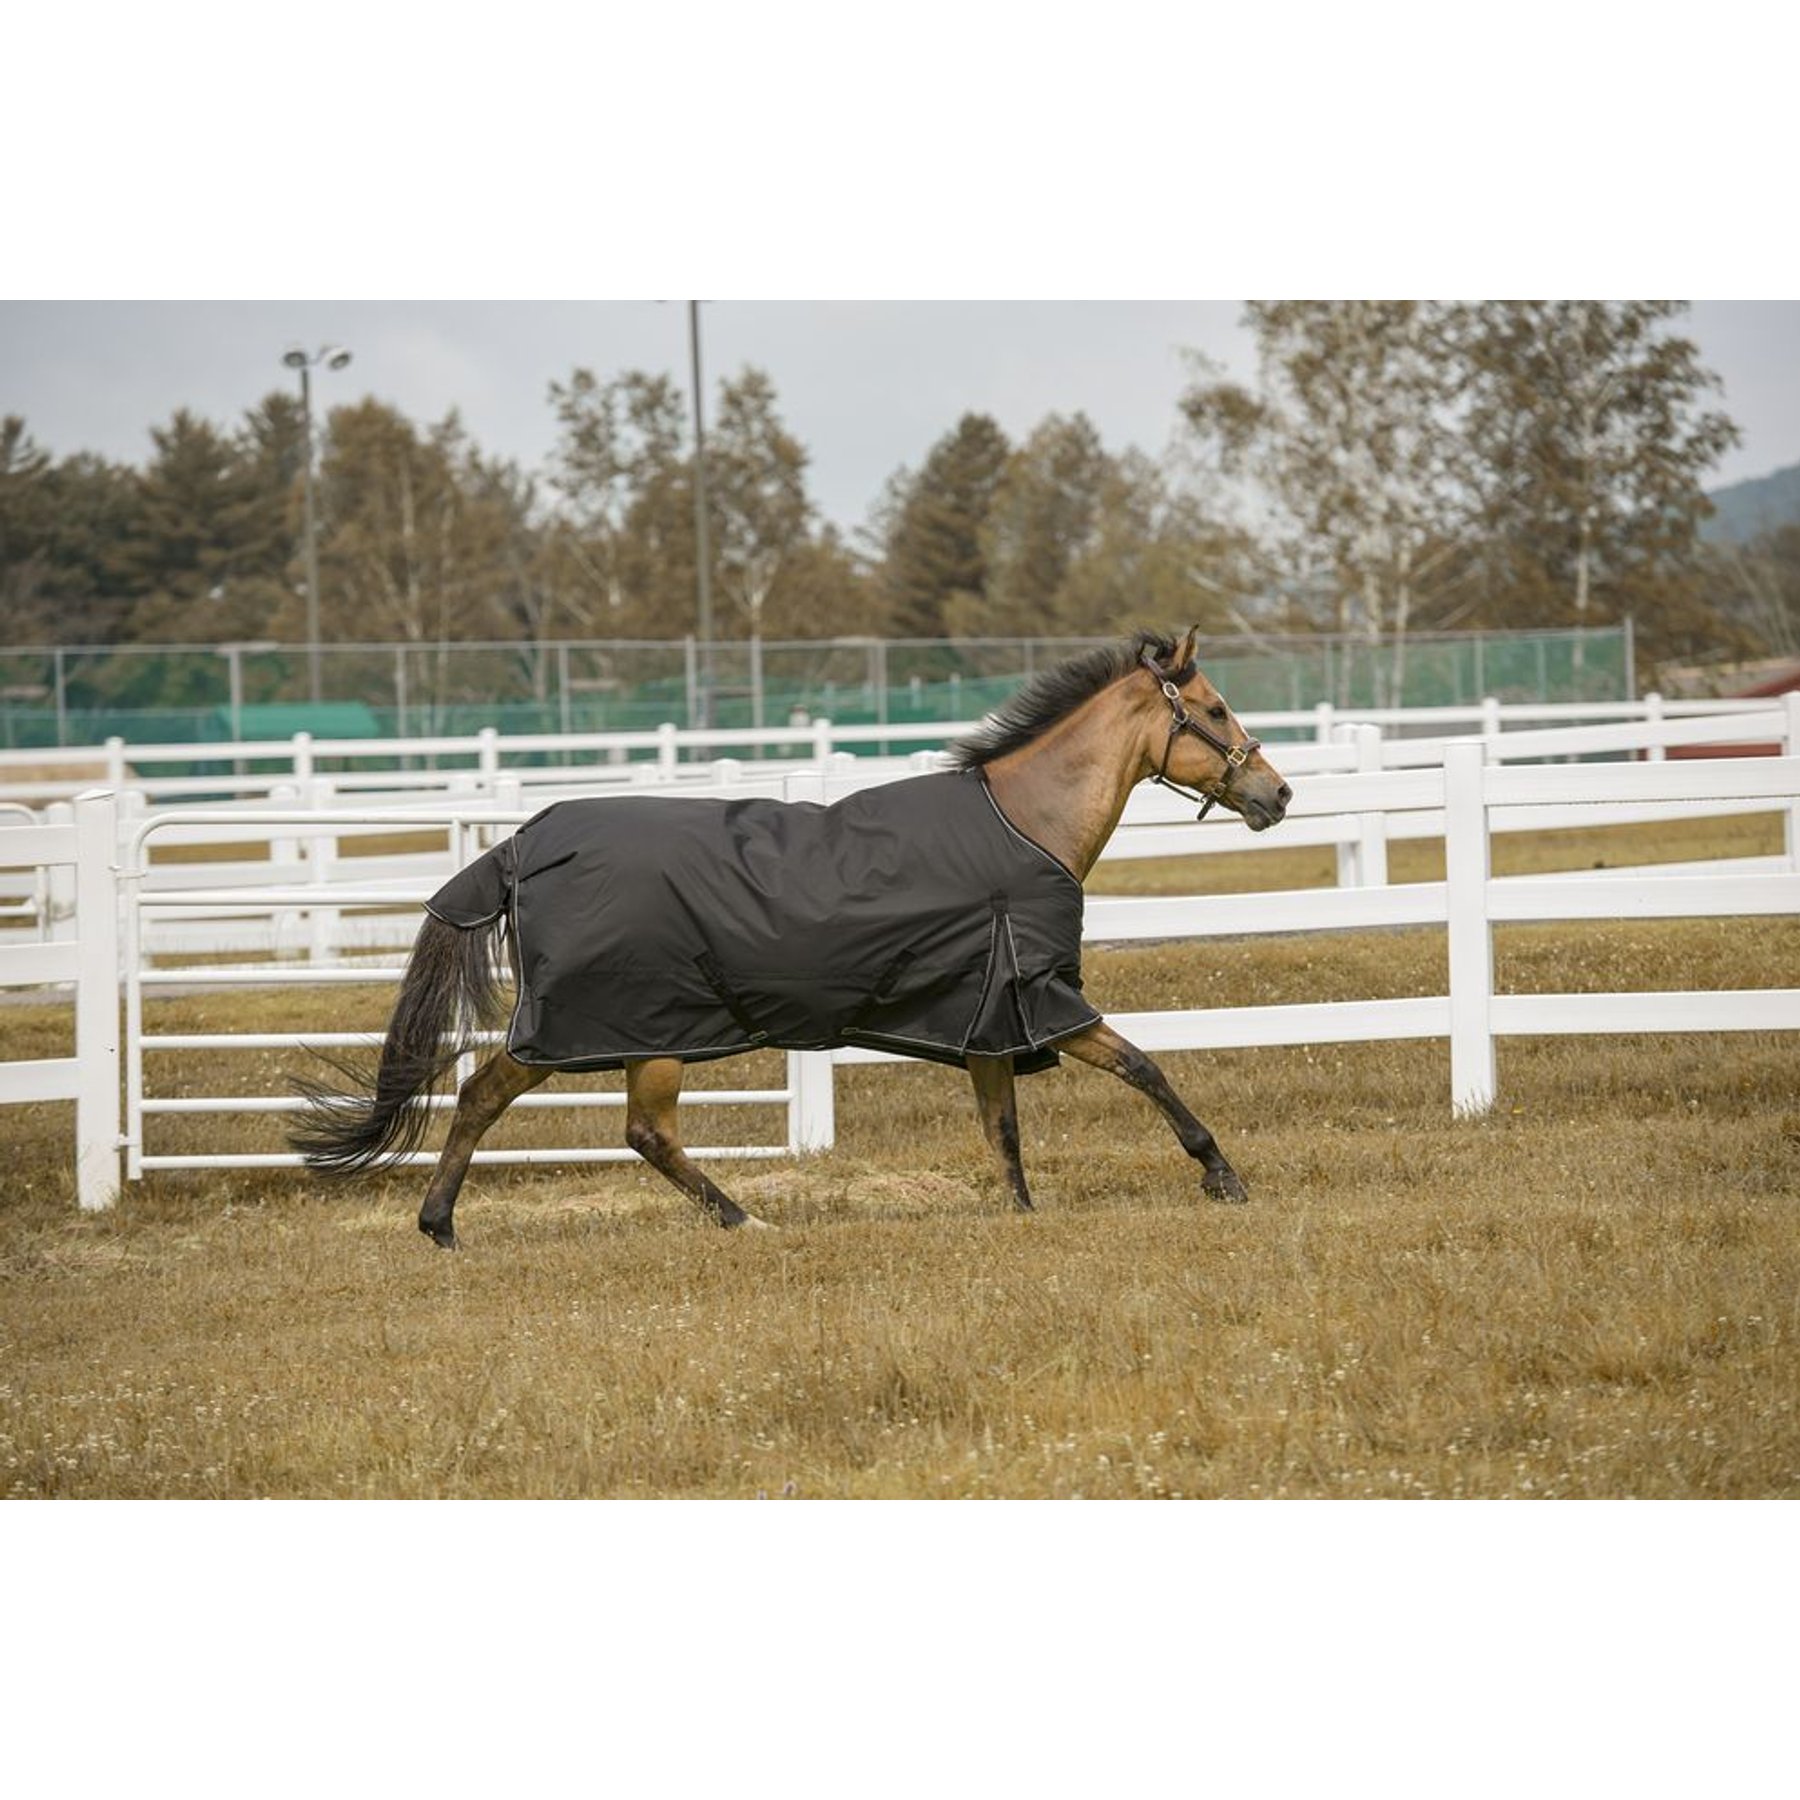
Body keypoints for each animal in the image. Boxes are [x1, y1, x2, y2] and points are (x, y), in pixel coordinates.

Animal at [290, 627, 1291, 1246]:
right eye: (1216, 708)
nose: (1276, 795)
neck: (1021, 823)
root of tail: (520, 846)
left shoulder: (986, 1021)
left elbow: (1002, 1127)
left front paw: (1021, 1212)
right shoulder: (1044, 1001)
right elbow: (1144, 1067)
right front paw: (1222, 1176)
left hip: (629, 1034)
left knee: (516, 1104)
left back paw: (447, 1225)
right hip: (629, 1030)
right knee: (591, 1120)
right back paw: (730, 1222)